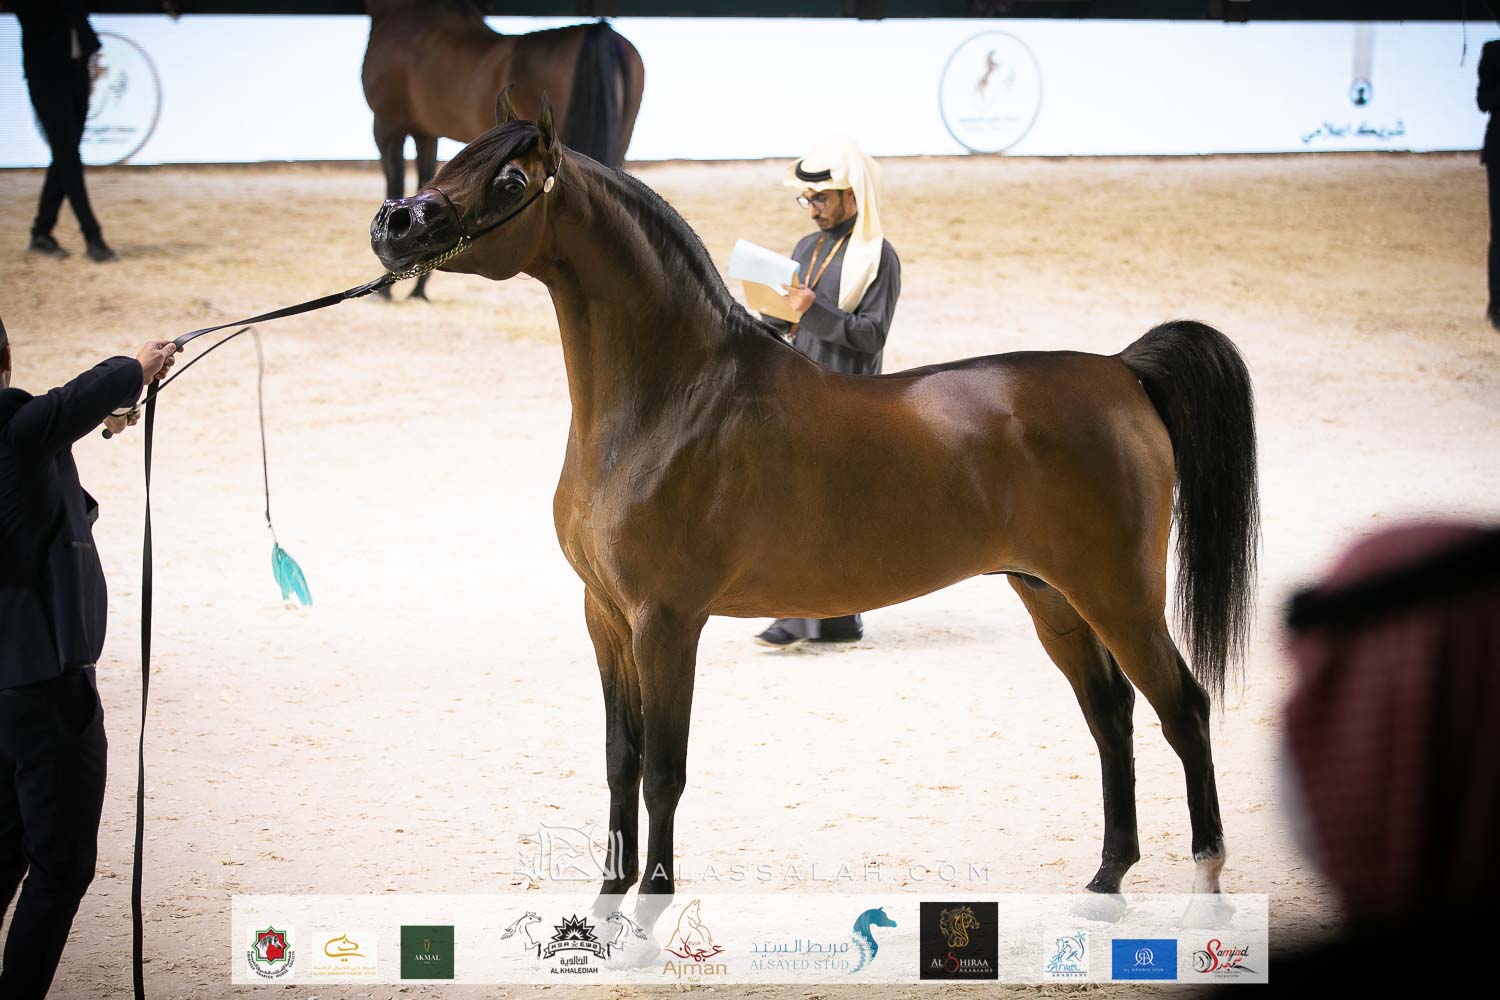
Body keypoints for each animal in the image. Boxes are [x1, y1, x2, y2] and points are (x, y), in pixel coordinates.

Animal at [368, 98, 1260, 924]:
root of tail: (1121, 371)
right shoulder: (606, 617)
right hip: (1052, 596)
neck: (670, 402)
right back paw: (1106, 883)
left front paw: (651, 911)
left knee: (1183, 710)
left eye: (511, 181)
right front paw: (606, 904)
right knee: (1111, 716)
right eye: (456, 156)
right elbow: (621, 759)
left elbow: (664, 770)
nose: (393, 223)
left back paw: (1206, 894)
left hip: (1120, 596)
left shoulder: (667, 620)